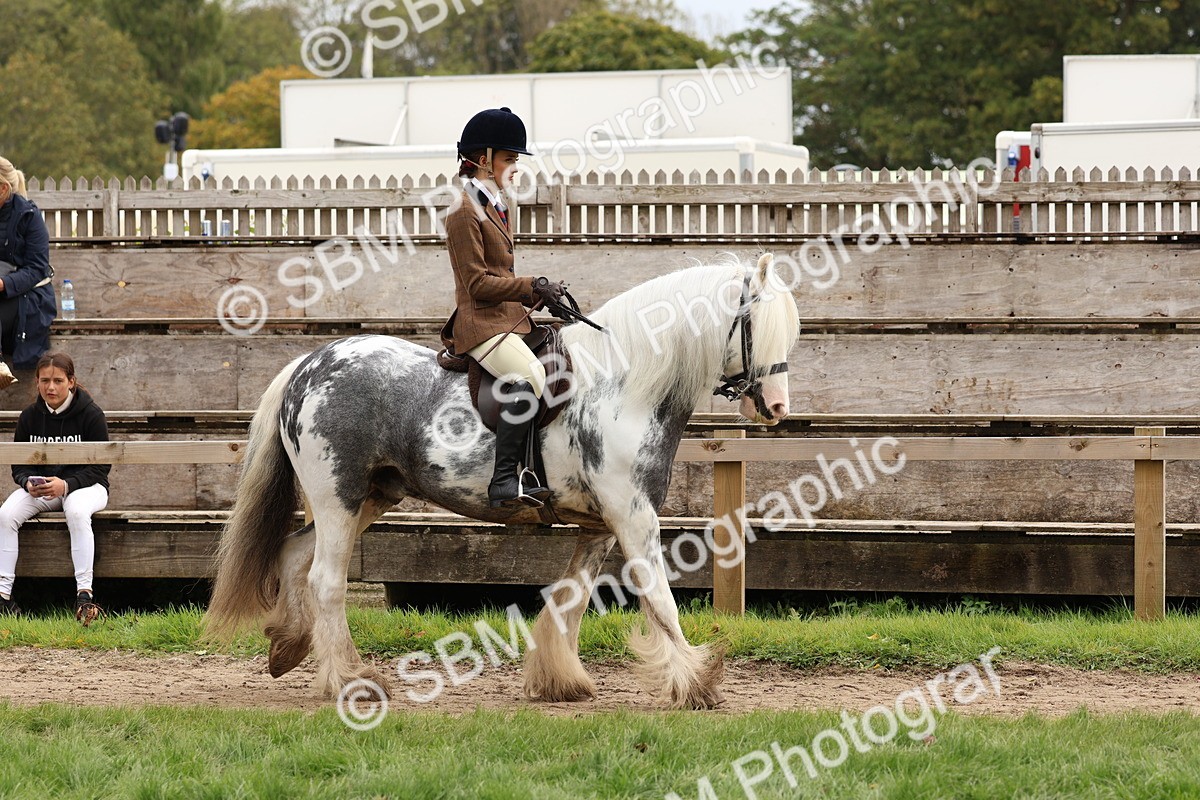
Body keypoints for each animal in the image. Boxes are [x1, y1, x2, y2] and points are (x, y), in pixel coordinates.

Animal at [204, 253, 800, 709]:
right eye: (757, 325)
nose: (776, 408)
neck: (622, 385)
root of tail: (308, 365)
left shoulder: (600, 526)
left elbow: (572, 598)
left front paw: (560, 681)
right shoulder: (632, 516)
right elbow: (660, 600)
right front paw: (696, 684)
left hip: (369, 497)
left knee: (293, 557)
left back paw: (289, 648)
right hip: (339, 498)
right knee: (325, 580)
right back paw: (354, 681)